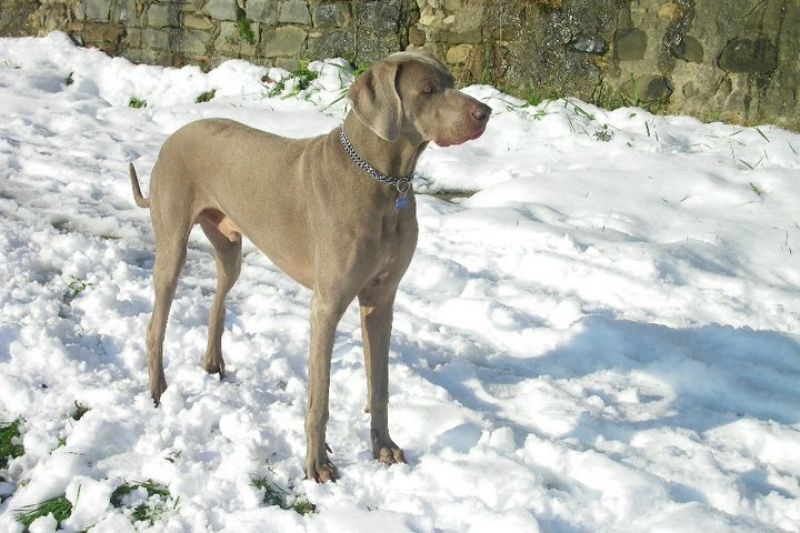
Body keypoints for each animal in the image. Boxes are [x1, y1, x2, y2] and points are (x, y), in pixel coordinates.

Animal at [129, 51, 490, 482]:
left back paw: (213, 362)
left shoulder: (381, 301)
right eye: (428, 90)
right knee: (155, 324)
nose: (485, 112)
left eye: (451, 81)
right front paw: (318, 465)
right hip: (172, 245)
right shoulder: (326, 307)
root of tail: (175, 135)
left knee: (220, 295)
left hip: (229, 246)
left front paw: (384, 447)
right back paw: (157, 391)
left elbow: (380, 386)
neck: (385, 181)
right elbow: (321, 398)